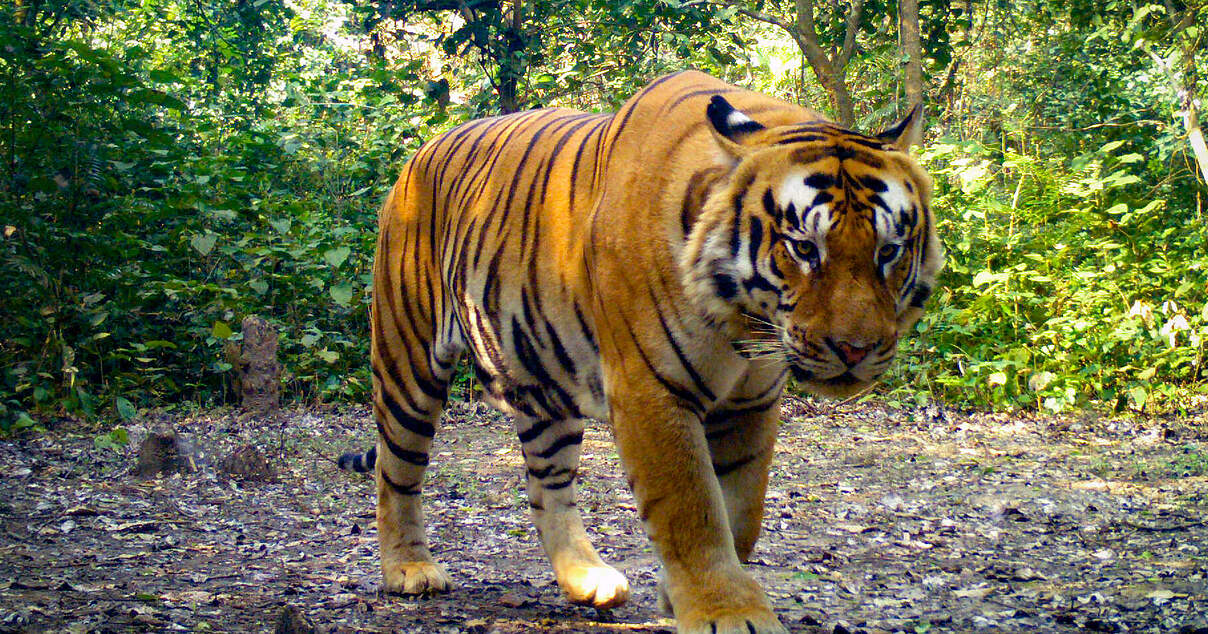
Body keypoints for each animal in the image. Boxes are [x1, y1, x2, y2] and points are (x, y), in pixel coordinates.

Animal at [338, 70, 943, 633]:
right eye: (803, 248)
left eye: (889, 250)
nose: (855, 349)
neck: (744, 320)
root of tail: (422, 151)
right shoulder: (651, 390)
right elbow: (692, 509)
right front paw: (728, 612)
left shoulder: (751, 402)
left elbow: (742, 508)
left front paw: (687, 595)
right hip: (408, 360)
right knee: (396, 470)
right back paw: (409, 569)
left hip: (542, 384)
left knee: (545, 485)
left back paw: (587, 580)